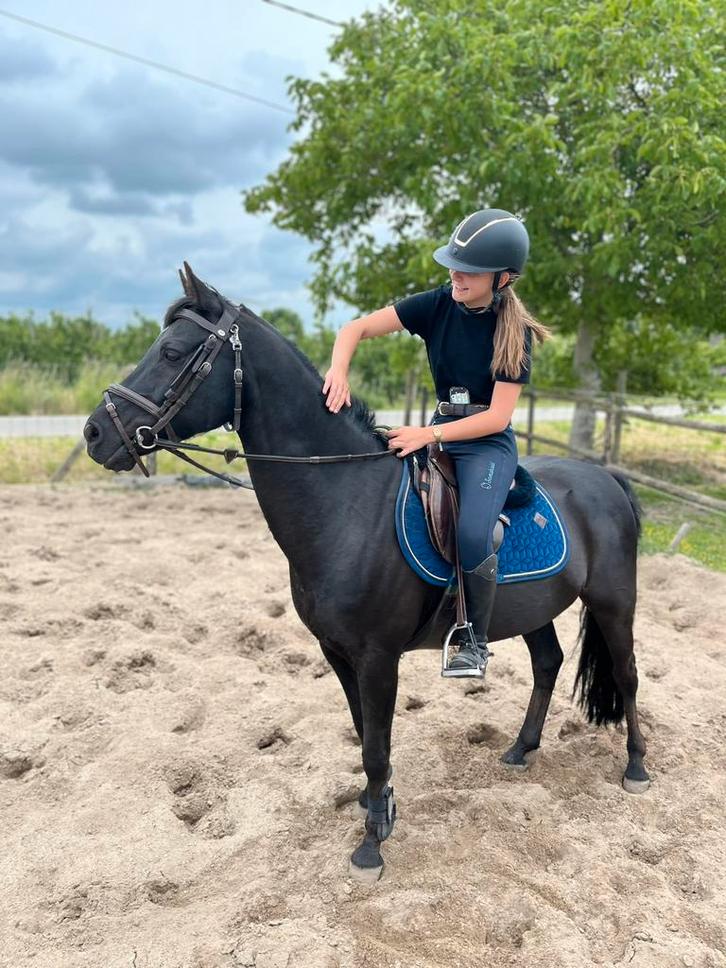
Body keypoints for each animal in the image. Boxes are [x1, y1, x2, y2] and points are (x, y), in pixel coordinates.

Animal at [84, 264, 650, 882]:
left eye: (171, 351)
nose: (94, 433)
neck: (346, 500)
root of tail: (607, 478)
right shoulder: (337, 652)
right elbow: (363, 734)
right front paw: (376, 805)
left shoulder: (378, 656)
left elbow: (377, 745)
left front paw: (371, 844)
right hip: (532, 609)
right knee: (548, 663)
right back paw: (522, 749)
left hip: (614, 603)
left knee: (627, 676)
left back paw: (636, 768)